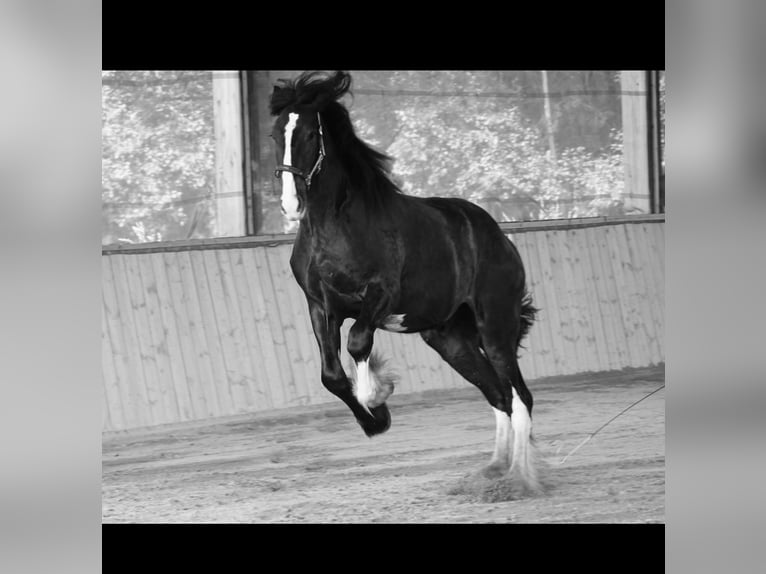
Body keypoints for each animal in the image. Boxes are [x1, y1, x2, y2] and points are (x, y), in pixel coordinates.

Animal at [272, 71, 544, 496]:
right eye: (275, 134)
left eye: (310, 135)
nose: (291, 204)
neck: (337, 230)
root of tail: (501, 239)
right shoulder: (320, 307)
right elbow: (331, 375)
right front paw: (376, 420)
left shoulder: (379, 297)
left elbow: (358, 343)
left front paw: (376, 395)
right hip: (451, 340)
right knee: (497, 394)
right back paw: (493, 469)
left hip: (496, 328)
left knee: (520, 398)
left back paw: (519, 479)